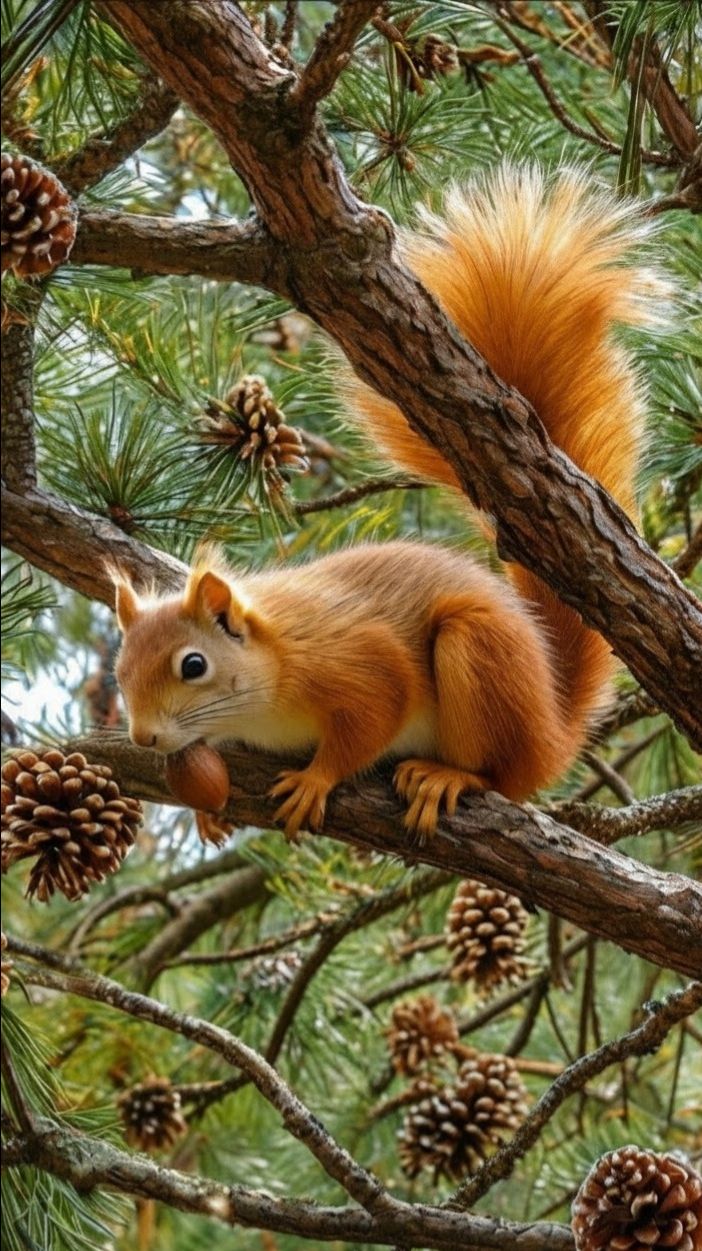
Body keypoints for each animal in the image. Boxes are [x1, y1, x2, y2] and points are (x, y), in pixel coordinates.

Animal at [113, 165, 658, 840]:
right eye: (120, 670)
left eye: (193, 666)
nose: (144, 736)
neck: (269, 671)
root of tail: (551, 734)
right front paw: (207, 811)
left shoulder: (356, 663)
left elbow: (372, 718)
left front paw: (316, 780)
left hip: (478, 654)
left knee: (498, 775)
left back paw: (448, 776)